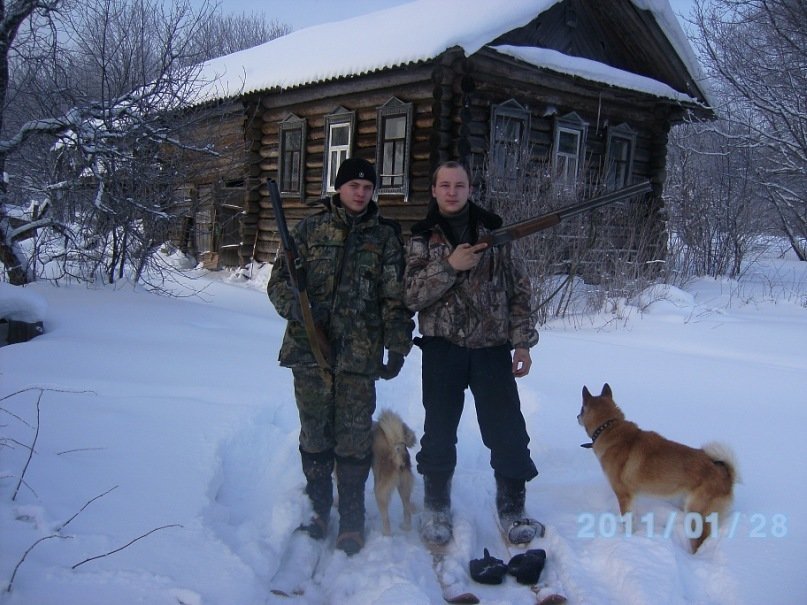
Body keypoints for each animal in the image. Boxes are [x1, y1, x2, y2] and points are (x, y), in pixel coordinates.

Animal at [372, 408, 416, 536]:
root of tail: (398, 449)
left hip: (380, 492)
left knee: (386, 519)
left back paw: (385, 535)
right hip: (404, 487)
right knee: (407, 509)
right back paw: (406, 527)